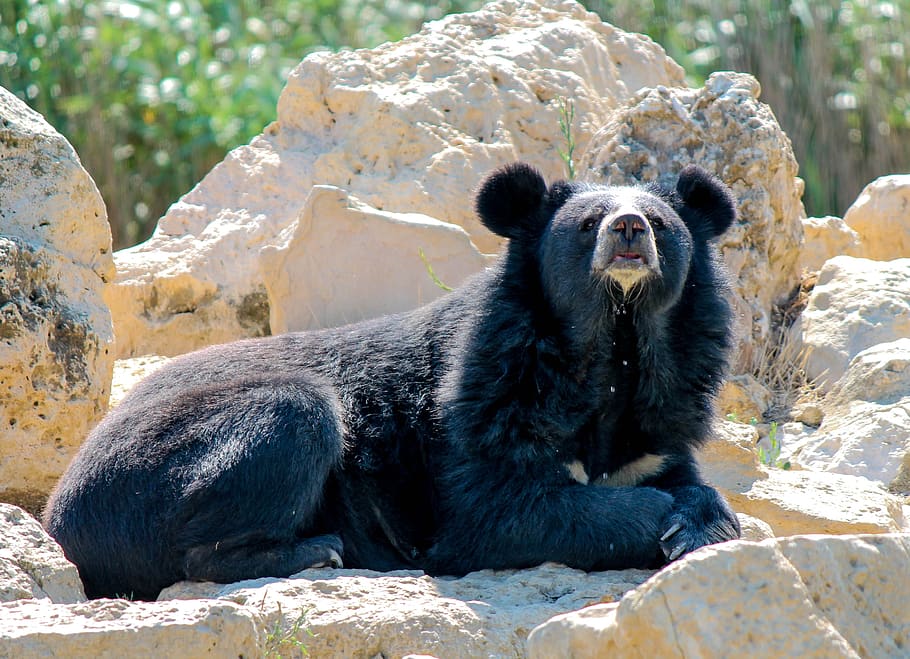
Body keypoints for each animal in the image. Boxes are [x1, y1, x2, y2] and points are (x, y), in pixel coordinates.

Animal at [43, 162, 741, 600]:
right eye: (587, 223)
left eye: (662, 223)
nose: (629, 228)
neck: (612, 348)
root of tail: (59, 515)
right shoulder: (486, 409)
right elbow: (504, 513)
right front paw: (661, 521)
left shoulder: (657, 426)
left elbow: (683, 480)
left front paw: (700, 520)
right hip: (164, 466)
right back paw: (317, 550)